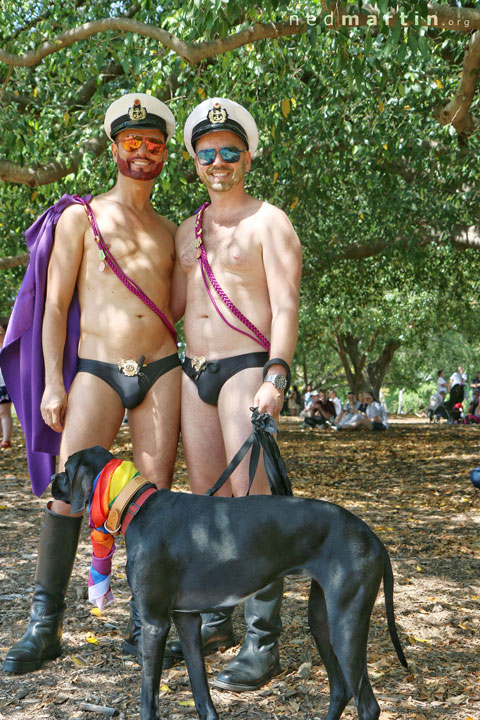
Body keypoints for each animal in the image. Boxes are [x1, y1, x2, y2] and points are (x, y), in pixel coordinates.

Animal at [52, 448, 406, 720]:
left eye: (66, 468)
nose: (51, 481)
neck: (137, 506)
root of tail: (373, 537)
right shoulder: (186, 620)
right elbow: (200, 690)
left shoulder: (154, 623)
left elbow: (148, 696)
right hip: (322, 622)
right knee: (341, 689)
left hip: (346, 625)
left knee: (368, 706)